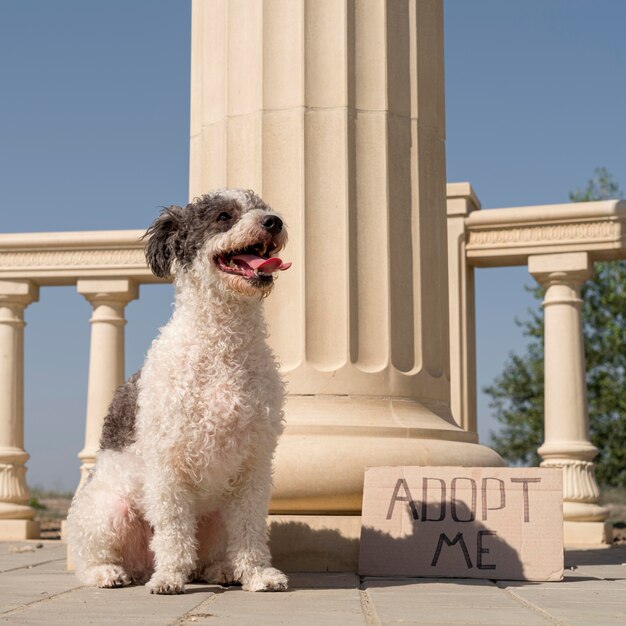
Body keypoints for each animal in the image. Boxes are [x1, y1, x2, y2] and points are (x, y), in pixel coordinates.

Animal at [67, 188, 292, 592]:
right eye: (223, 216)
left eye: (263, 208)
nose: (273, 221)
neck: (222, 347)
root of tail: (141, 564)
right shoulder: (168, 464)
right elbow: (173, 529)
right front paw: (170, 576)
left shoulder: (254, 465)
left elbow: (251, 529)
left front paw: (257, 574)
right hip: (107, 511)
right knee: (92, 556)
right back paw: (110, 572)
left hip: (217, 516)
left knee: (214, 550)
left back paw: (221, 569)